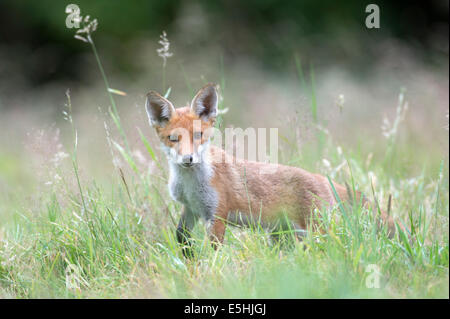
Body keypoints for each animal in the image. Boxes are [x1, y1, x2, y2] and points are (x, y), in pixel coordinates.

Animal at [145, 83, 398, 258]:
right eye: (173, 139)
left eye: (198, 135)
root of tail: (321, 178)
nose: (188, 159)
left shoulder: (217, 215)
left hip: (317, 231)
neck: (190, 183)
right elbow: (182, 239)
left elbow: (215, 251)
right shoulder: (191, 209)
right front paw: (189, 263)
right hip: (283, 237)